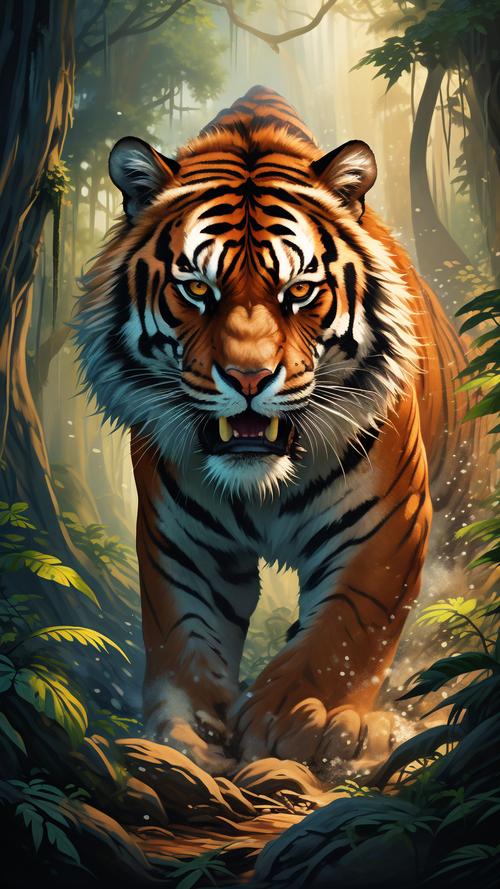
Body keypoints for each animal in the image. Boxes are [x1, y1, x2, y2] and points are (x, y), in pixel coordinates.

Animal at [75, 86, 483, 775]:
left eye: (298, 290)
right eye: (197, 288)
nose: (248, 375)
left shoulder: (386, 524)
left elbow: (344, 631)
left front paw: (296, 716)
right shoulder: (181, 541)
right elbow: (183, 633)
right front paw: (189, 734)